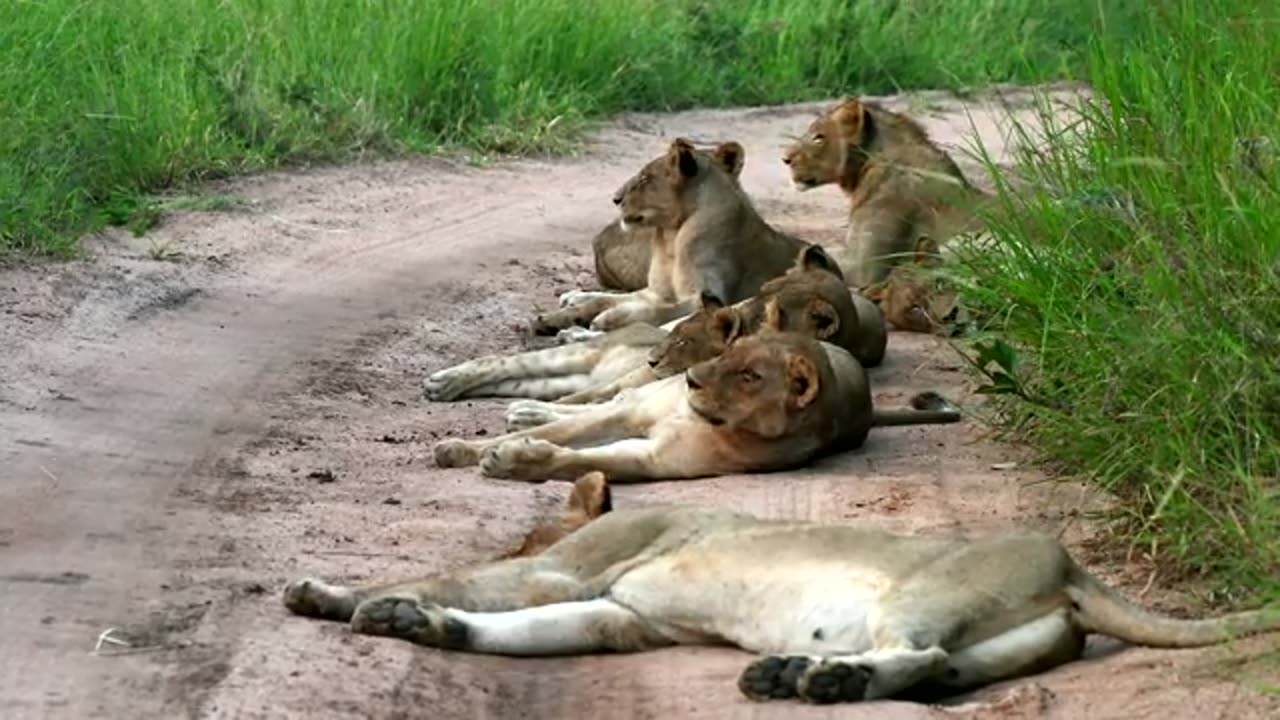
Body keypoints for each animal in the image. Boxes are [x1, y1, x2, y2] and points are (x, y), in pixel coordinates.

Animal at [430, 333, 962, 481]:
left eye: (750, 376)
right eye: (730, 351)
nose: (692, 378)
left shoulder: (654, 459)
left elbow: (578, 459)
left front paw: (512, 460)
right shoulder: (634, 413)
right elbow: (565, 432)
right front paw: (460, 448)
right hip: (637, 393)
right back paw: (521, 408)